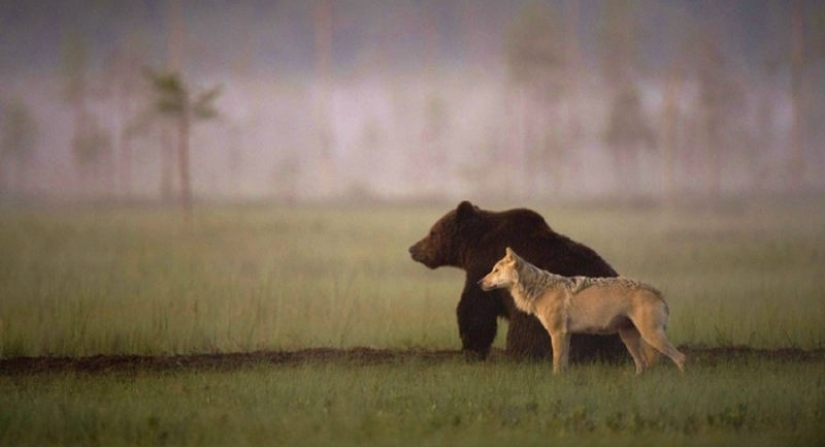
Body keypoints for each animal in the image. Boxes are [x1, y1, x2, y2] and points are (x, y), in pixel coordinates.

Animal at [408, 200, 627, 362]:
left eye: (432, 232)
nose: (413, 248)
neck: (474, 245)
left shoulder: (484, 266)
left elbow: (475, 308)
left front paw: (471, 347)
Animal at [479, 247, 686, 374]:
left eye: (495, 270)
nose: (479, 282)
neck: (539, 289)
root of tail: (658, 292)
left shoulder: (557, 333)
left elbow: (556, 363)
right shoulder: (566, 334)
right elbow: (563, 364)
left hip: (651, 336)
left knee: (681, 358)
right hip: (629, 338)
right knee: (642, 365)